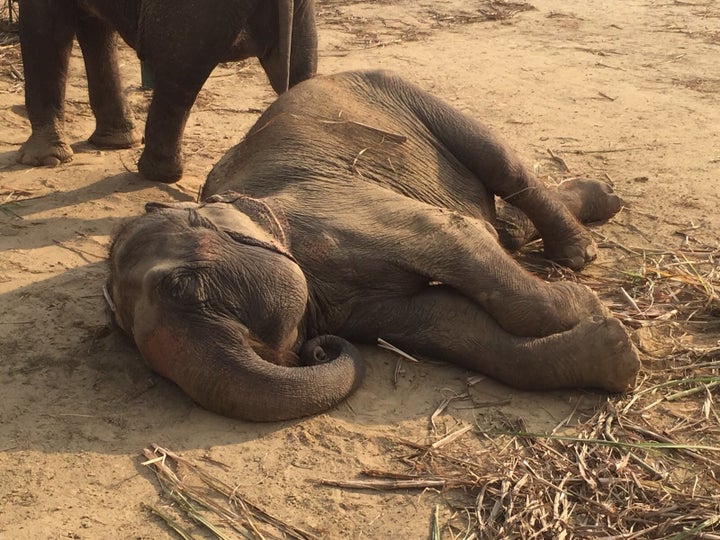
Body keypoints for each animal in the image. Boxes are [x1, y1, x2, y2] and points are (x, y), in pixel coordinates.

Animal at [14, 0, 316, 182]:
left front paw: (43, 161)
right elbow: (94, 26)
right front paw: (116, 142)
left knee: (177, 73)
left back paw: (155, 174)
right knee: (303, 67)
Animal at [104, 69, 640, 422]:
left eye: (183, 287)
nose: (316, 350)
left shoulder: (346, 212)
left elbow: (459, 239)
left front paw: (588, 305)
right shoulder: (358, 305)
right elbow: (454, 327)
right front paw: (615, 356)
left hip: (413, 97)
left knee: (502, 165)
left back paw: (579, 253)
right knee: (501, 224)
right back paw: (602, 203)